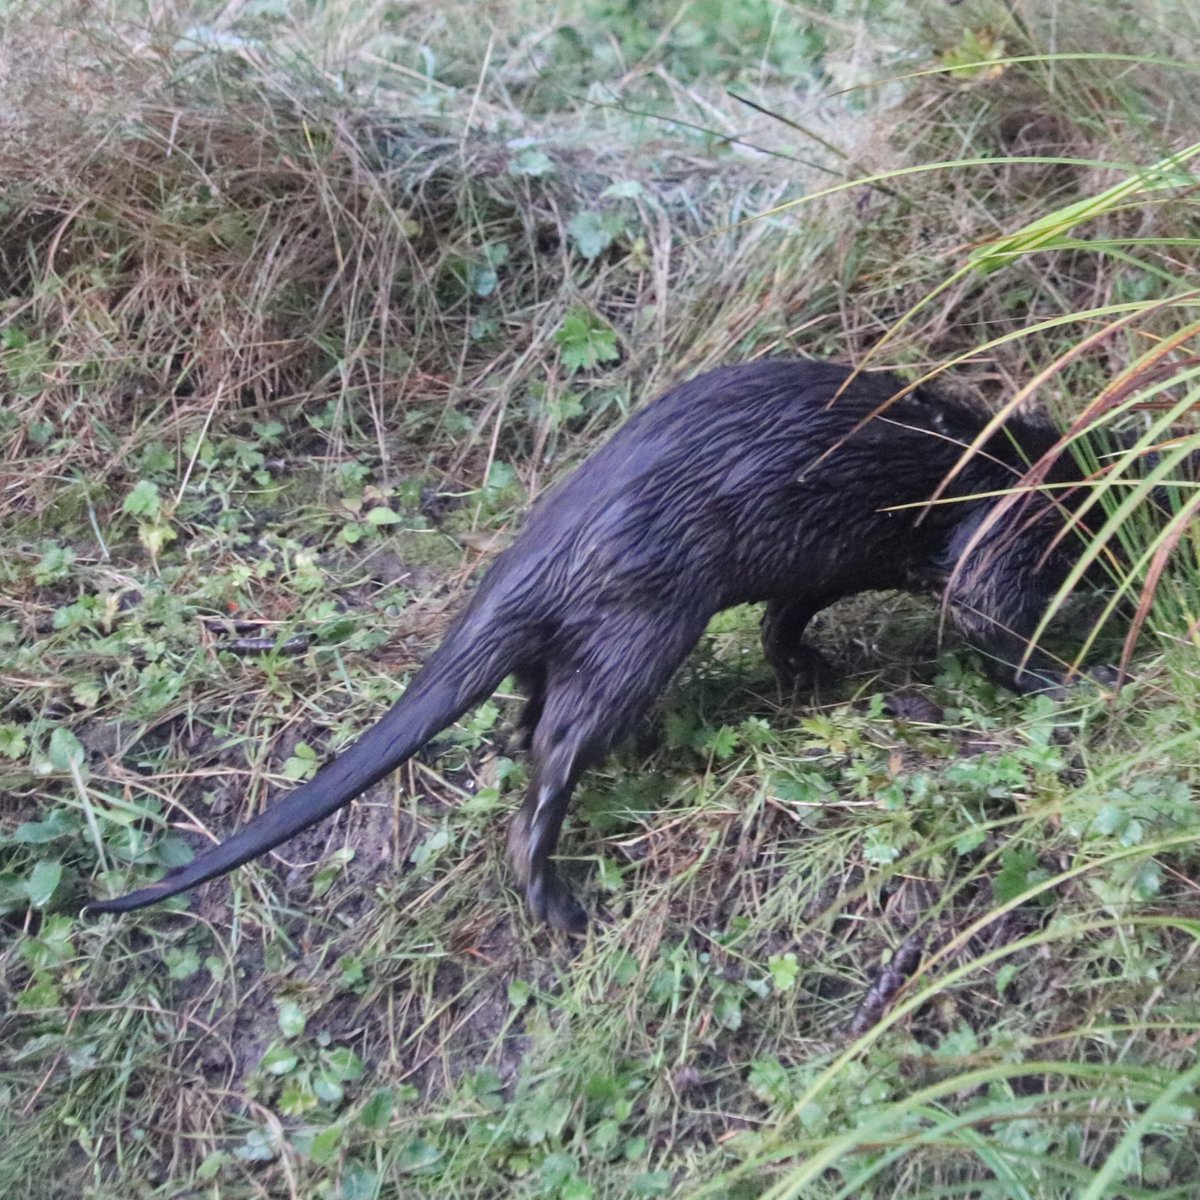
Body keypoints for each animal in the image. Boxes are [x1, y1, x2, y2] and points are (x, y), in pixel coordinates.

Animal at [85, 359, 1101, 932]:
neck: (1013, 460)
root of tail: (552, 541)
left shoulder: (834, 561)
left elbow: (787, 620)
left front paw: (813, 670)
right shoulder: (1000, 531)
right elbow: (985, 616)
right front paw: (1080, 674)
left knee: (528, 709)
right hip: (645, 620)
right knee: (557, 746)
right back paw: (556, 899)